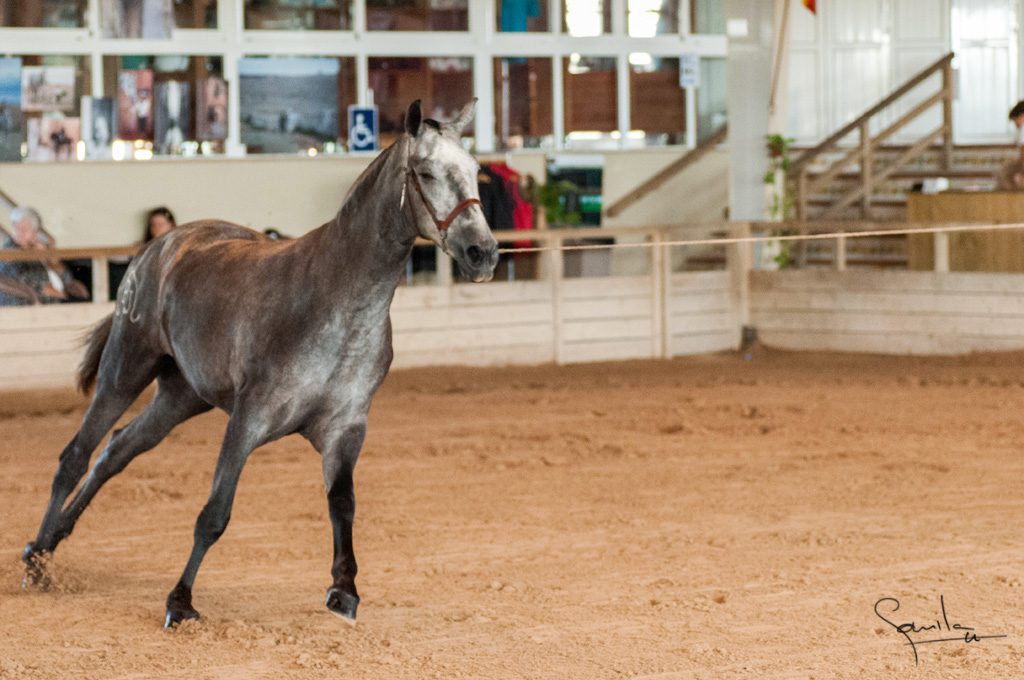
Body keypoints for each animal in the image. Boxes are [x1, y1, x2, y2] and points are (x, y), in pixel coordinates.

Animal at [22, 99, 501, 626]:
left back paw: (50, 543)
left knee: (117, 450)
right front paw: (180, 602)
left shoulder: (346, 428)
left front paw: (344, 591)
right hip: (125, 368)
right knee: (76, 455)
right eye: (427, 172)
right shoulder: (248, 420)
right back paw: (37, 559)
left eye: (475, 170)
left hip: (181, 397)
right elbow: (214, 514)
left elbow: (343, 505)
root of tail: (160, 247)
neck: (336, 300)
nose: (483, 253)